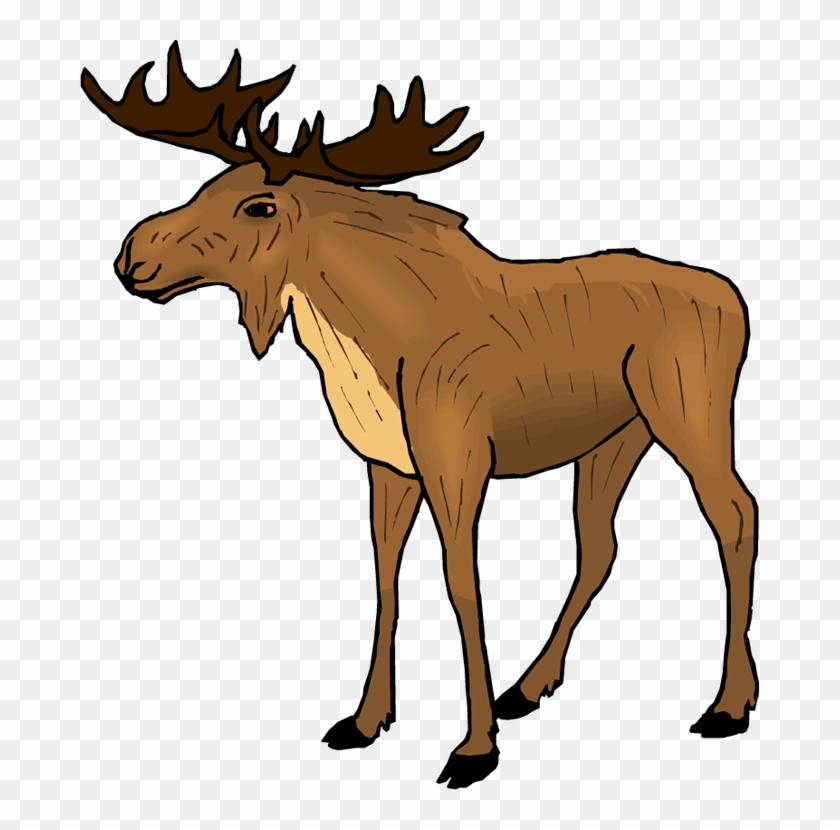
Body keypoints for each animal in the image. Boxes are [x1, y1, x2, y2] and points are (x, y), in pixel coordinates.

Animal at [81, 43, 759, 788]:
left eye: (259, 205)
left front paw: (474, 748)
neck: (364, 346)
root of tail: (737, 300)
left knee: (736, 514)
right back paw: (528, 686)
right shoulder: (388, 465)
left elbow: (462, 585)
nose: (133, 255)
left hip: (688, 412)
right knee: (600, 545)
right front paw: (364, 720)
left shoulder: (458, 461)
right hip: (614, 438)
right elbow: (386, 580)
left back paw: (729, 704)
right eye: (208, 186)